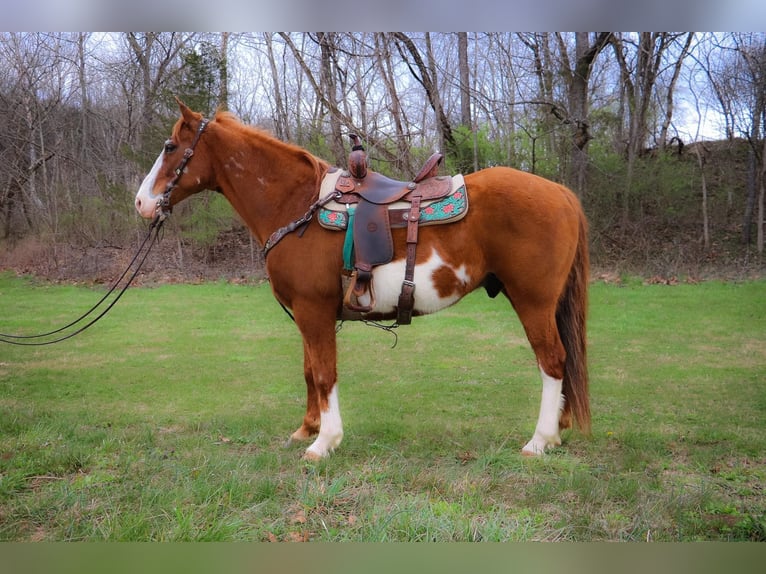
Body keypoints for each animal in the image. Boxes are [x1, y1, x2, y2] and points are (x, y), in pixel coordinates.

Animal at [135, 101, 592, 464]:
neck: (296, 205)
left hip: (533, 301)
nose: (141, 203)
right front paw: (307, 428)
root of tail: (563, 194)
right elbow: (309, 370)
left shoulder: (313, 310)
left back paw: (539, 441)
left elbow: (324, 374)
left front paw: (324, 443)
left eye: (170, 147)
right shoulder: (309, 315)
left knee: (553, 360)